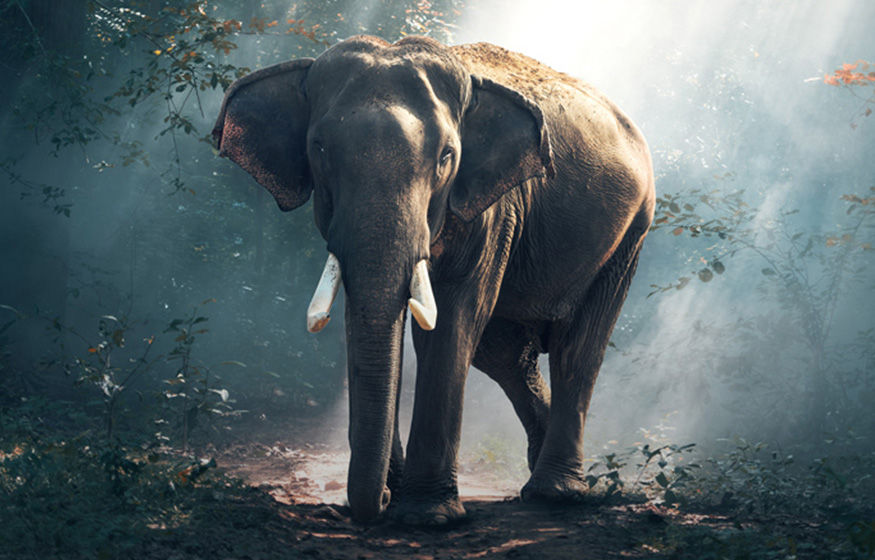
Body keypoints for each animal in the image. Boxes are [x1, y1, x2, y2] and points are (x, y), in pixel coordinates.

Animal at [212, 35, 655, 525]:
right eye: (320, 149)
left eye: (446, 156)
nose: (380, 501)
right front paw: (398, 494)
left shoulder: (494, 209)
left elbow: (452, 321)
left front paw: (428, 516)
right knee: (505, 354)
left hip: (630, 234)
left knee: (577, 348)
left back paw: (554, 493)